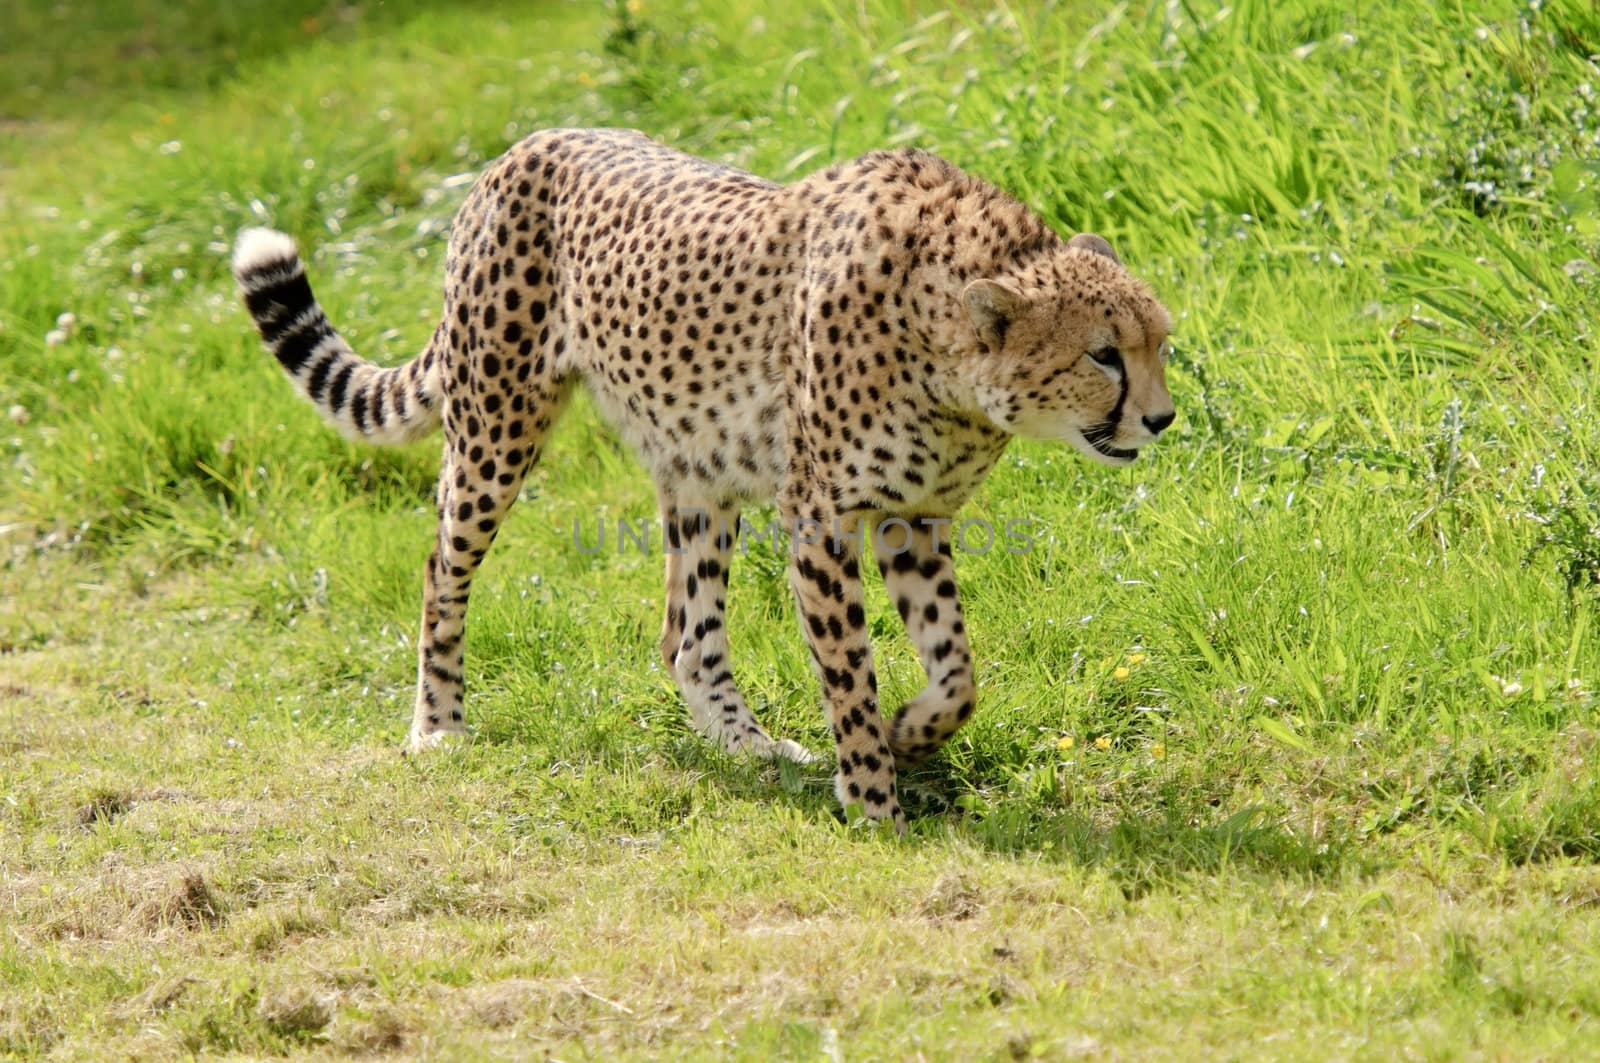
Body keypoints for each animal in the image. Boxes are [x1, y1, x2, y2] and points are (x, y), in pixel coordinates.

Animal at [232, 126, 1177, 832]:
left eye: (1160, 341)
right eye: (1103, 354)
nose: (1163, 418)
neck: (946, 355)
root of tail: (521, 147)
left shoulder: (913, 518)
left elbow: (957, 674)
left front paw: (909, 735)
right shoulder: (820, 516)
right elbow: (850, 670)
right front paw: (874, 799)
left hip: (698, 472)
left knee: (684, 635)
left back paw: (747, 744)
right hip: (496, 429)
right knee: (440, 570)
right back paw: (438, 725)